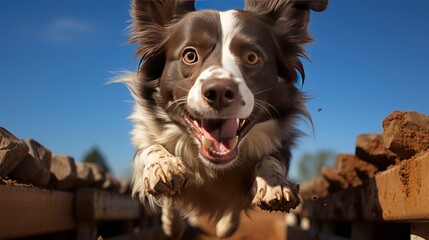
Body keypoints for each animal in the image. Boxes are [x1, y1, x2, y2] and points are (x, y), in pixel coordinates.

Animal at [120, 0, 328, 238]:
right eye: (190, 55)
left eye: (252, 57)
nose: (219, 91)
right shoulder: (146, 135)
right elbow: (151, 149)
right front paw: (164, 167)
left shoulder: (281, 144)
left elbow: (270, 160)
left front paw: (275, 184)